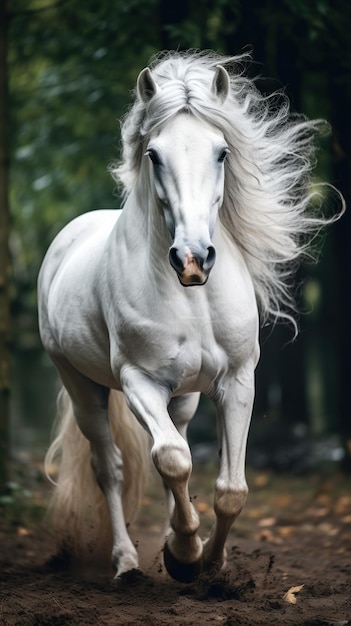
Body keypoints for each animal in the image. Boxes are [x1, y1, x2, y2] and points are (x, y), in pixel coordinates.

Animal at [39, 50, 344, 580]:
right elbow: (173, 461)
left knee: (171, 446)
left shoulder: (237, 381)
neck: (193, 298)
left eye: (221, 152)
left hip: (182, 397)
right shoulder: (139, 381)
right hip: (82, 387)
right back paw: (127, 562)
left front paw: (212, 566)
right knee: (112, 467)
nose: (192, 259)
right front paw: (183, 556)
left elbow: (230, 489)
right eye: (153, 155)